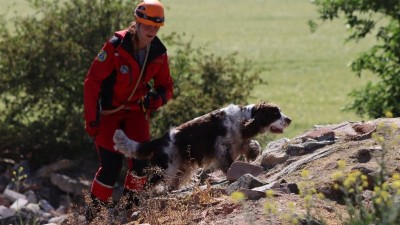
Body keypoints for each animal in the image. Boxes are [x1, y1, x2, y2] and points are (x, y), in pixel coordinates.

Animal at [112, 102, 290, 190]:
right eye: (276, 114)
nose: (289, 119)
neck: (243, 117)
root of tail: (160, 140)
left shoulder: (239, 142)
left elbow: (252, 145)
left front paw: (253, 153)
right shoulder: (222, 147)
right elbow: (228, 163)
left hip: (180, 169)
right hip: (166, 169)